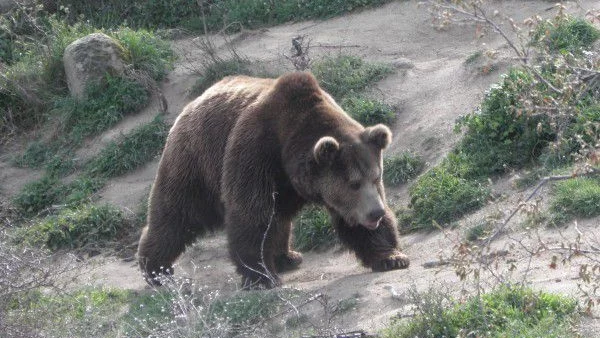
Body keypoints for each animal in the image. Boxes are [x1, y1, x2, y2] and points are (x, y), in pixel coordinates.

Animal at [137, 71, 408, 288]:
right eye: (353, 183)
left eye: (376, 177)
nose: (375, 212)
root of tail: (191, 104)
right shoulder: (256, 152)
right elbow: (251, 214)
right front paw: (262, 276)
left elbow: (353, 222)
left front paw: (392, 257)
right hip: (196, 162)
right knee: (176, 214)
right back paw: (156, 270)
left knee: (279, 218)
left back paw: (287, 256)